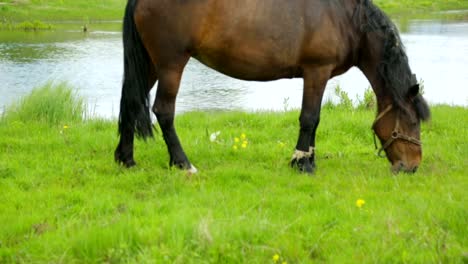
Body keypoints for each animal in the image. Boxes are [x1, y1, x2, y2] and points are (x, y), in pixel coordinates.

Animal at [115, 0, 430, 174]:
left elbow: (312, 121)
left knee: (131, 102)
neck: (346, 18)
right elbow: (310, 118)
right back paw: (183, 164)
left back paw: (126, 160)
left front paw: (307, 159)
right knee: (163, 111)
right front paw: (303, 163)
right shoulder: (317, 71)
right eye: (412, 121)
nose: (413, 166)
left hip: (151, 65)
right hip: (171, 64)